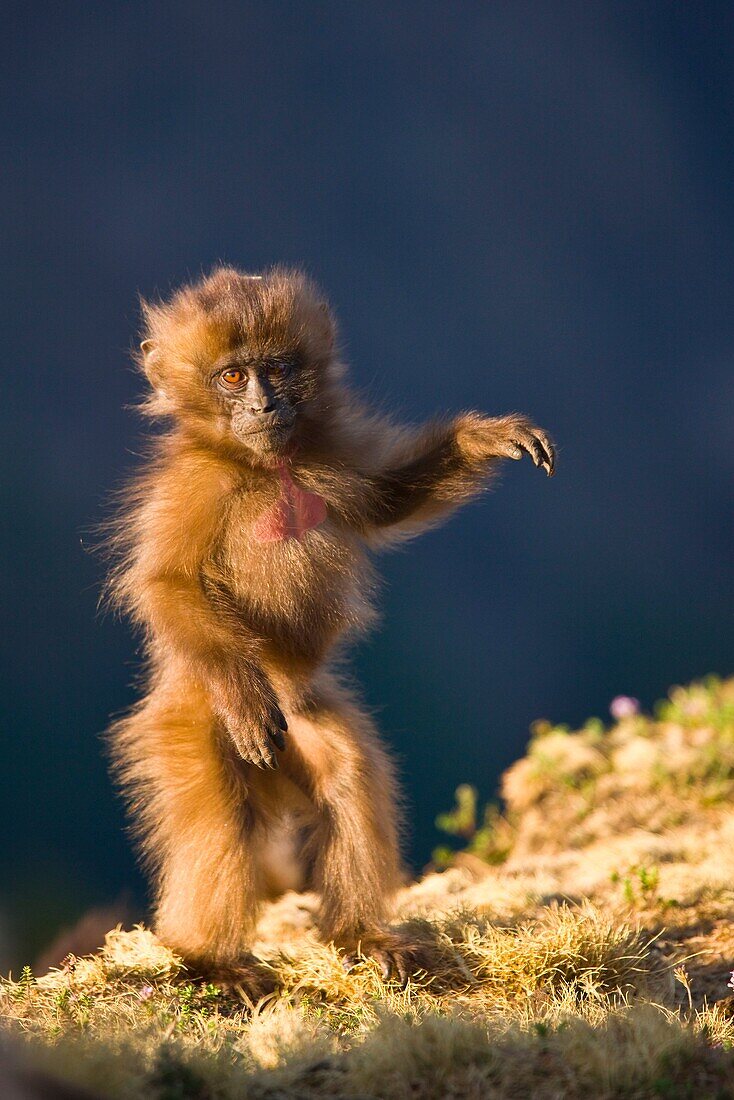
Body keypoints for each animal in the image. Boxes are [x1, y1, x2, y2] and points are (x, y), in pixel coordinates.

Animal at [107, 266, 556, 990]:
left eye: (276, 370)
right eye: (232, 377)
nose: (264, 407)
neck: (265, 468)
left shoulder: (329, 453)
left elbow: (380, 505)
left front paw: (478, 438)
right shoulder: (194, 485)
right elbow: (169, 585)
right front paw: (242, 696)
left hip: (300, 719)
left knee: (346, 773)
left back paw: (361, 936)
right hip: (189, 719)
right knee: (220, 813)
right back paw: (209, 957)